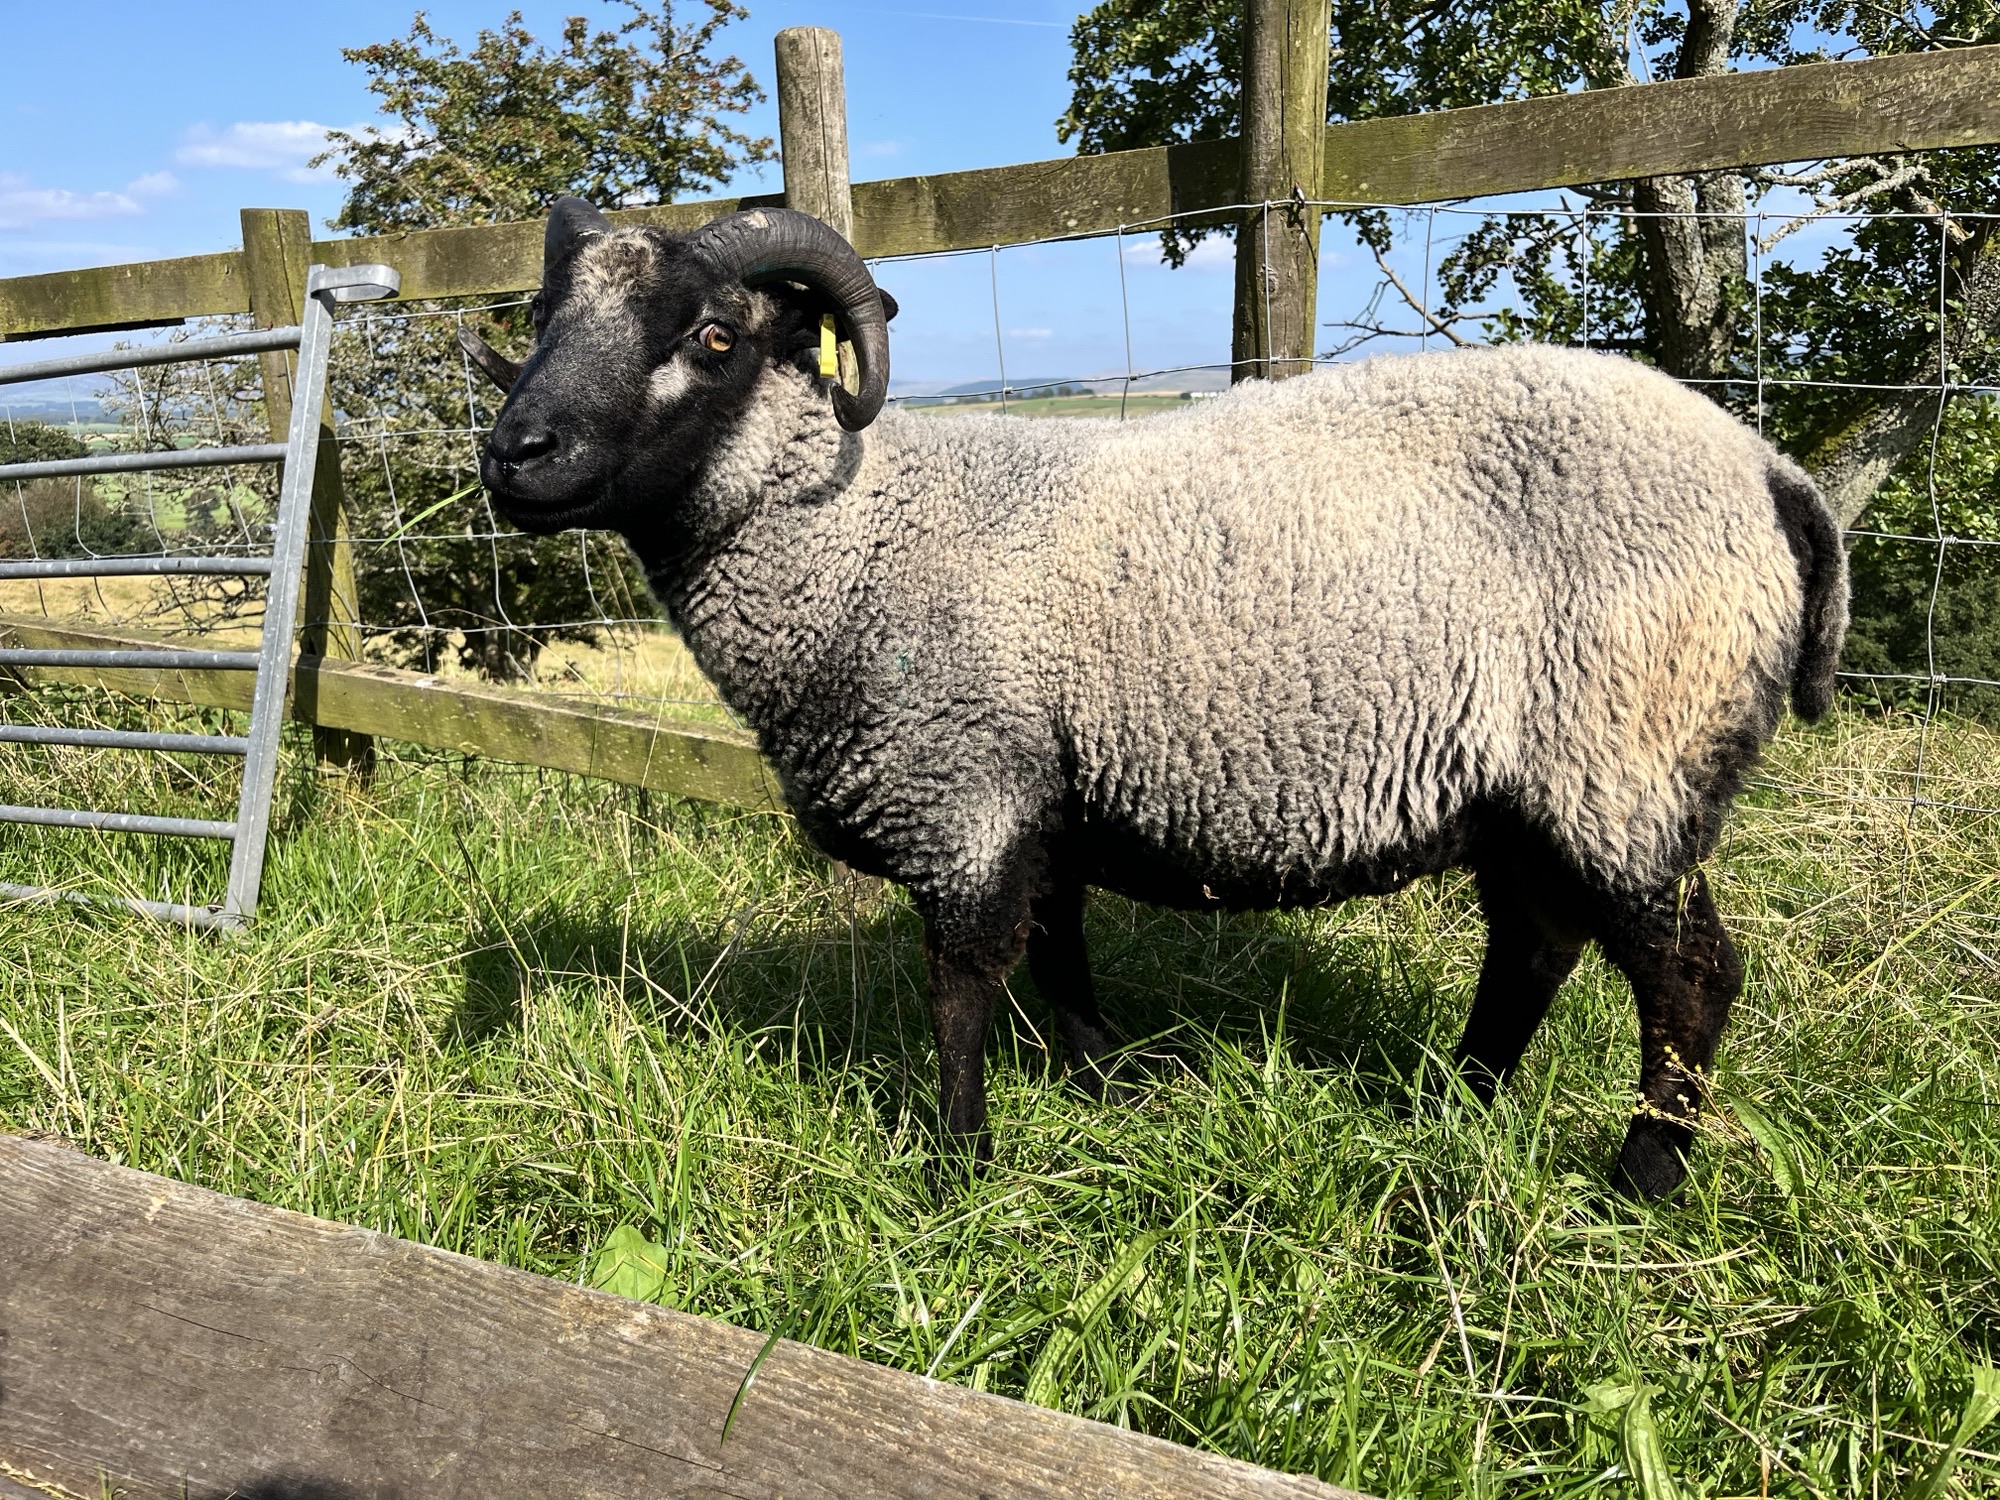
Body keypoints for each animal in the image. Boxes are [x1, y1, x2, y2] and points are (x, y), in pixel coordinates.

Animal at [464, 200, 1840, 1208]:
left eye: (709, 335)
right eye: (538, 318)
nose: (513, 455)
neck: (851, 528)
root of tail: (1763, 468)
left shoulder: (961, 787)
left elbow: (962, 984)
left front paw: (957, 1172)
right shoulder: (1038, 791)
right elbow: (1058, 953)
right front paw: (1107, 1093)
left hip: (1624, 759)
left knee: (1686, 974)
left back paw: (1640, 1176)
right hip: (1529, 786)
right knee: (1535, 944)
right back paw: (1451, 1105)